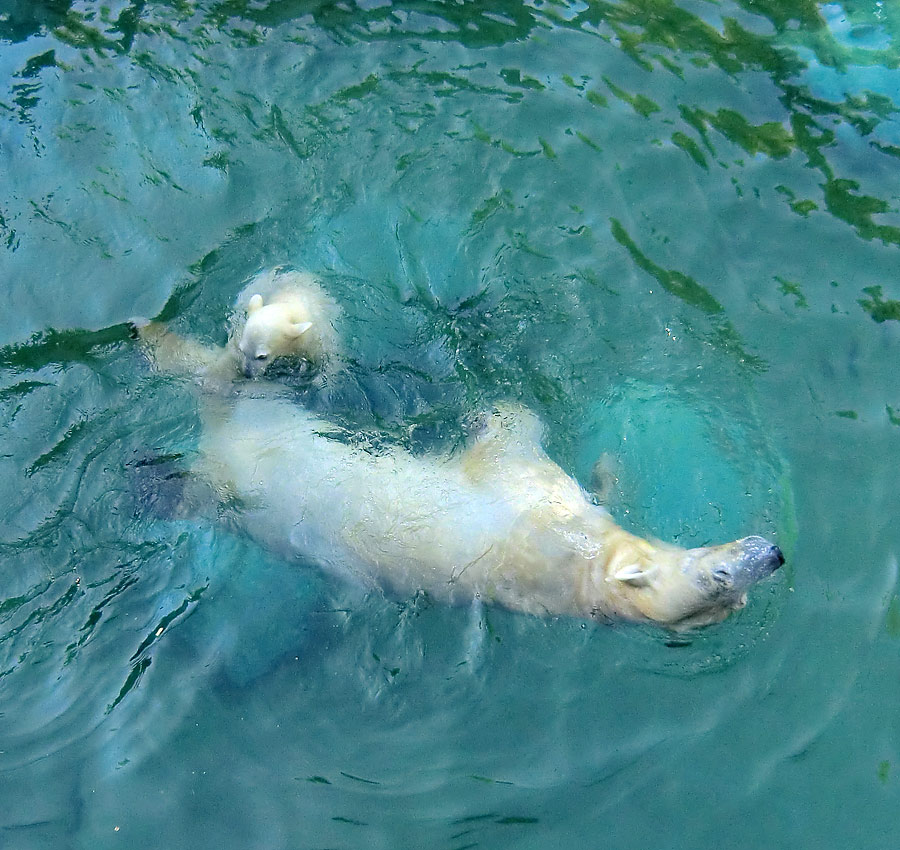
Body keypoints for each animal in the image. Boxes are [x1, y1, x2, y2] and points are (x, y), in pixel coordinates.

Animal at [137, 274, 784, 628]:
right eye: (722, 572)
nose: (773, 554)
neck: (579, 569)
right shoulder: (537, 498)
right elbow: (513, 430)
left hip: (236, 469)